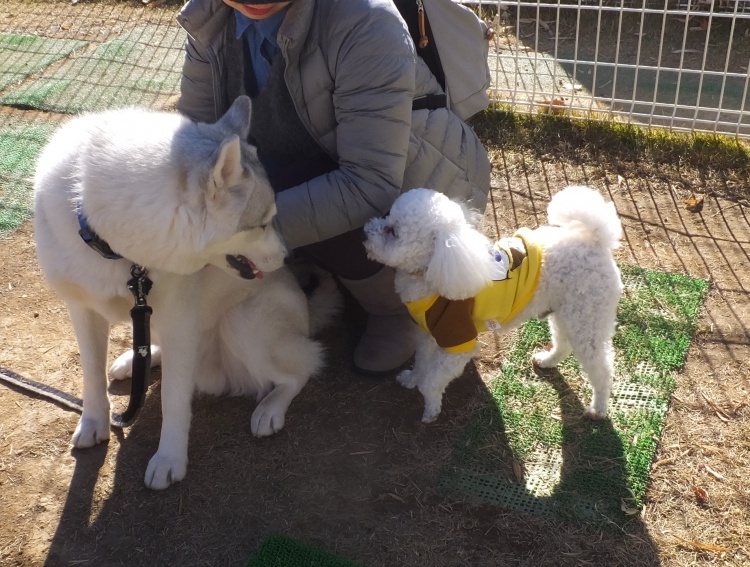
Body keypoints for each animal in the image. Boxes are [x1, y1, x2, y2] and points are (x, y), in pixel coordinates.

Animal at [33, 96, 335, 490]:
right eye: (262, 224)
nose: (288, 256)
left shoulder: (178, 321)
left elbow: (173, 400)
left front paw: (169, 459)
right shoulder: (83, 311)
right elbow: (91, 374)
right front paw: (94, 422)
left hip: (242, 324)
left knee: (301, 369)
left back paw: (270, 409)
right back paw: (134, 361)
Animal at [363, 186, 623, 424]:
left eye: (392, 231)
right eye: (387, 216)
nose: (364, 233)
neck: (436, 267)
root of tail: (595, 240)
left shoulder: (458, 343)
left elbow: (431, 381)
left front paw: (431, 409)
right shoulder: (426, 333)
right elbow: (421, 362)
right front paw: (411, 378)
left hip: (588, 316)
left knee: (602, 368)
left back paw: (598, 408)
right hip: (567, 311)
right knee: (564, 342)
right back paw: (547, 361)